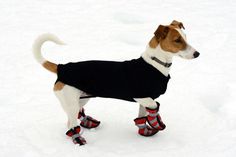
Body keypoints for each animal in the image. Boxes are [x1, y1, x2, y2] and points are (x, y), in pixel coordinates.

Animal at [32, 20, 199, 145]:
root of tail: (61, 67)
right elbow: (154, 106)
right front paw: (156, 122)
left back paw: (87, 123)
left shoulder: (143, 100)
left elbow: (142, 115)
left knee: (73, 116)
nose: (197, 54)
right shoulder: (143, 97)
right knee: (71, 123)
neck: (154, 64)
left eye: (186, 37)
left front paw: (144, 129)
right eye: (177, 40)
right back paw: (78, 138)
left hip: (81, 97)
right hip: (71, 100)